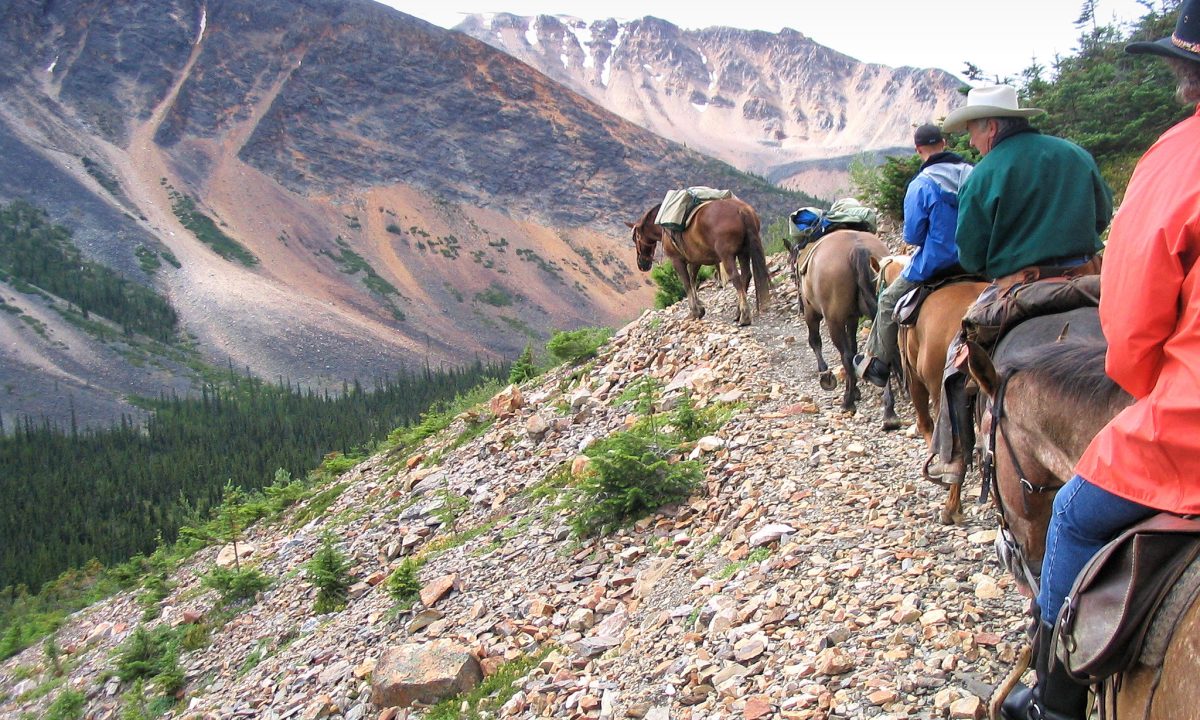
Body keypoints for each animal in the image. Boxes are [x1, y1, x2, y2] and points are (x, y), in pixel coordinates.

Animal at [628, 199, 768, 328]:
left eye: (635, 238)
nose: (641, 264)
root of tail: (741, 210)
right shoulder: (695, 261)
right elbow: (693, 281)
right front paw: (699, 309)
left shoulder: (677, 260)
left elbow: (686, 283)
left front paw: (695, 312)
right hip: (743, 252)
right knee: (746, 275)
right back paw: (738, 313)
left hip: (727, 256)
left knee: (736, 277)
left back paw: (744, 316)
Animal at [796, 230, 892, 415]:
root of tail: (857, 248)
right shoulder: (852, 318)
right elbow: (853, 347)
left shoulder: (812, 313)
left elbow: (815, 341)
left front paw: (826, 376)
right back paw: (889, 409)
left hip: (833, 321)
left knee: (846, 356)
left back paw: (848, 402)